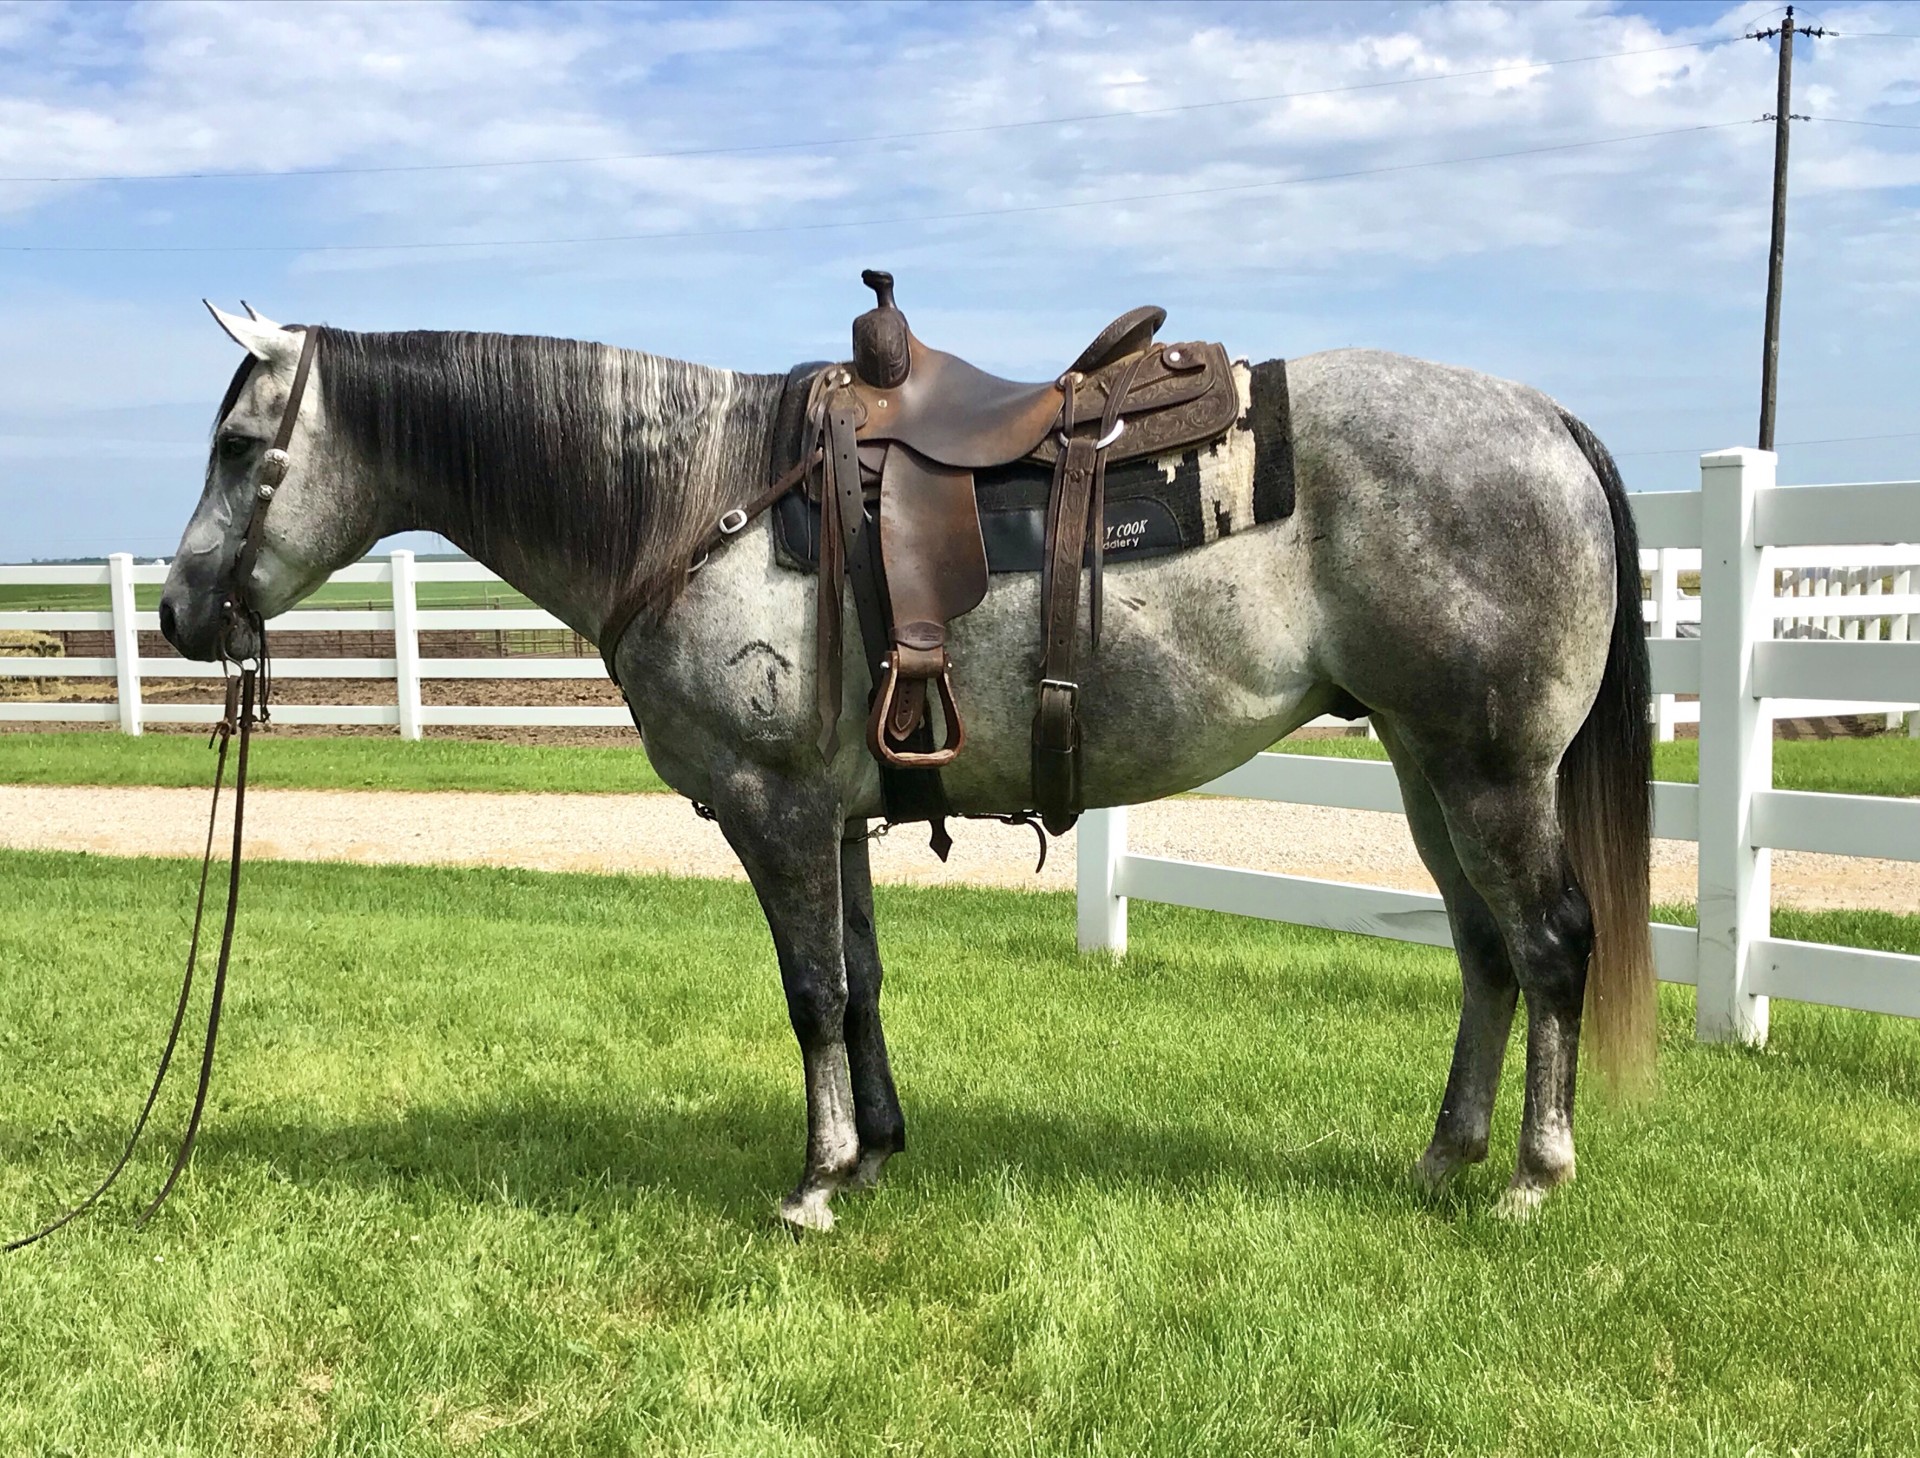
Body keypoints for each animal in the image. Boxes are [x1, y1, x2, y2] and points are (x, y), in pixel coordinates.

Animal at [165, 305, 1658, 1229]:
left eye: (240, 448)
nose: (181, 613)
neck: (698, 494)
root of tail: (1545, 421)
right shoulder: (836, 815)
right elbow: (865, 981)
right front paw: (877, 1153)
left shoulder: (769, 809)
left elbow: (812, 991)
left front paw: (818, 1181)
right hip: (1424, 766)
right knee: (1483, 951)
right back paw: (1447, 1153)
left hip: (1488, 769)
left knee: (1550, 942)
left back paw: (1534, 1174)